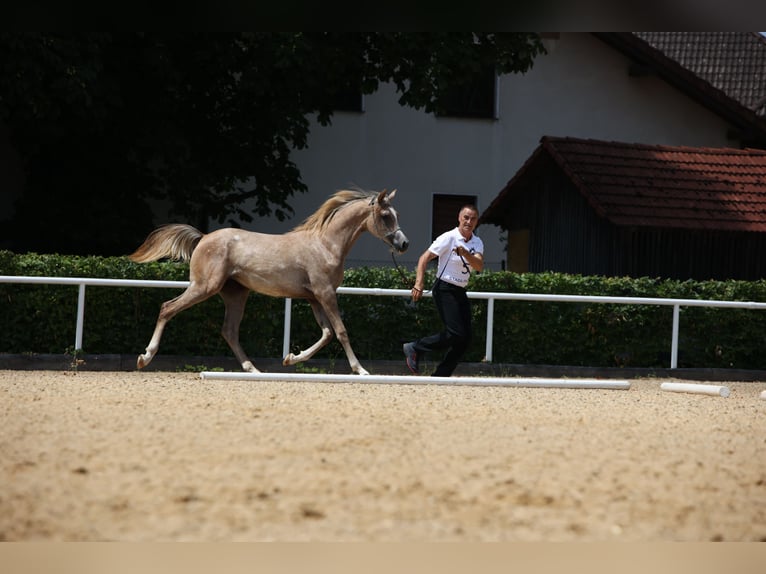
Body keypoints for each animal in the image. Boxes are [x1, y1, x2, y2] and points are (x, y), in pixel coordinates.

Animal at [128, 188, 408, 375]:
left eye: (395, 214)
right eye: (385, 215)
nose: (404, 244)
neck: (326, 245)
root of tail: (204, 237)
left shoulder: (314, 297)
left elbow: (327, 333)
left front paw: (290, 358)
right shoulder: (326, 293)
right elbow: (340, 332)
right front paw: (360, 369)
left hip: (235, 294)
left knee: (229, 330)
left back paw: (252, 369)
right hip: (204, 287)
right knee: (167, 308)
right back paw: (144, 358)